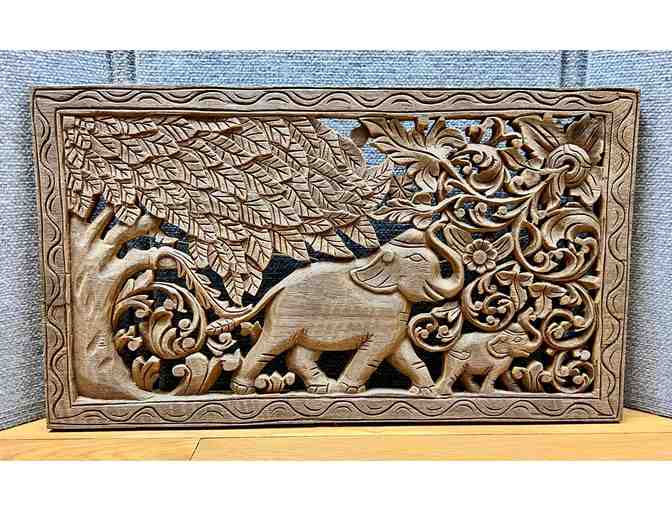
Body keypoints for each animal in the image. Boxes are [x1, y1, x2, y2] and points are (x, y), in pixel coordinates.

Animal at [227, 221, 464, 395]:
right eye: (417, 259)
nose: (440, 223)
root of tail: (280, 285)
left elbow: (402, 353)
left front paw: (426, 392)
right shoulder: (385, 316)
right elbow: (377, 351)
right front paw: (348, 389)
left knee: (300, 355)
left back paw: (323, 388)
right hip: (287, 316)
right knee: (271, 345)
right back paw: (243, 389)